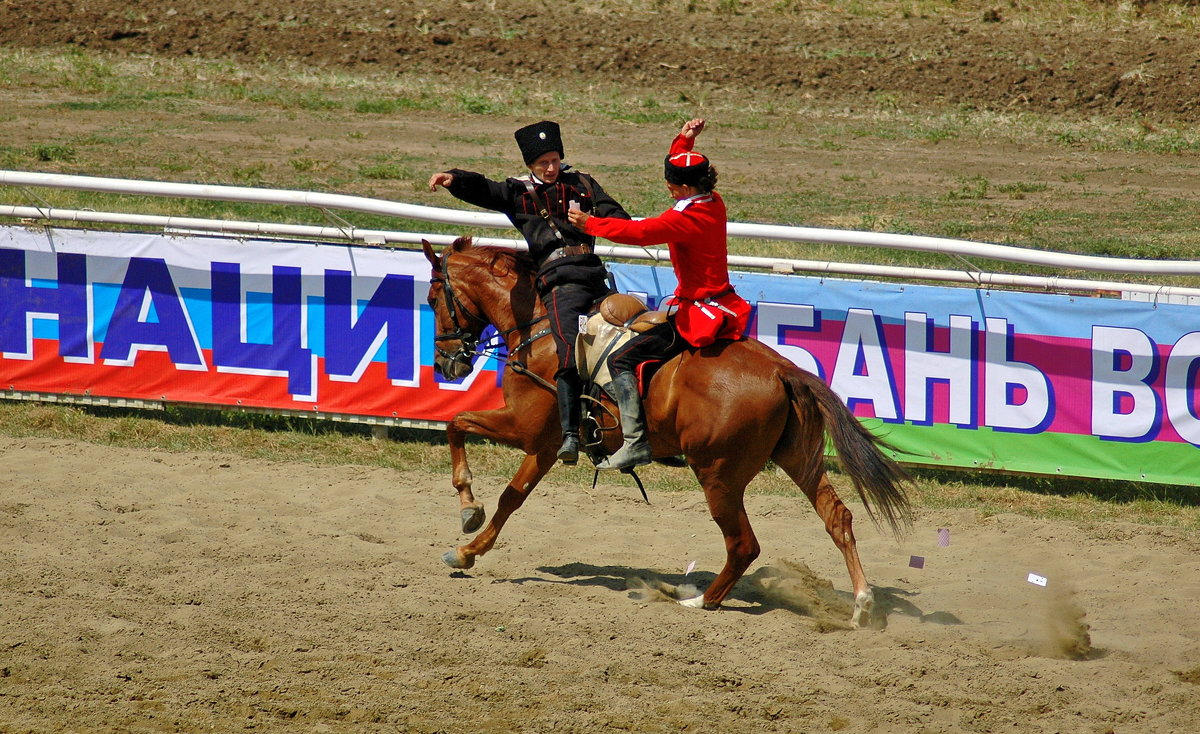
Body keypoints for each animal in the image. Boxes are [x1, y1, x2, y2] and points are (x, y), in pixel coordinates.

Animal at [422, 237, 907, 628]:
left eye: (432, 297)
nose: (447, 362)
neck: (542, 327)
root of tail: (782, 370)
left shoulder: (527, 430)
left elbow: (458, 427)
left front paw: (468, 512)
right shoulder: (545, 445)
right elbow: (511, 495)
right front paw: (468, 548)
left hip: (718, 476)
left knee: (743, 545)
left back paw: (701, 601)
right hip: (797, 461)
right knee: (837, 518)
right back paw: (861, 606)